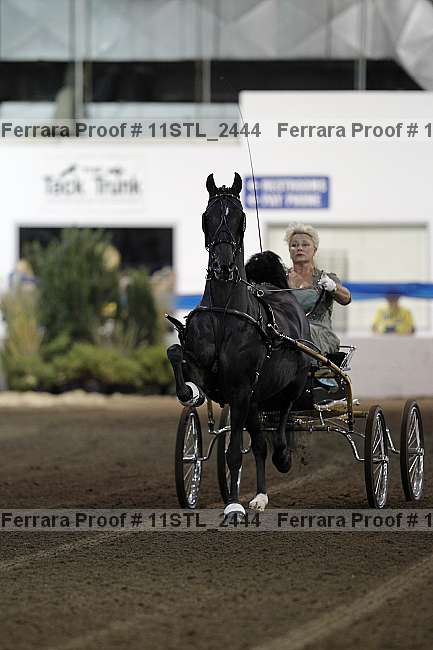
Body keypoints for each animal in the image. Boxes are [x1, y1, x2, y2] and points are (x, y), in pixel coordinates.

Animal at [167, 173, 311, 516]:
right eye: (206, 217)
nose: (222, 266)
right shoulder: (220, 380)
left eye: (240, 218)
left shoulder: (242, 388)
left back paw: (282, 457)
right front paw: (187, 392)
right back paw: (259, 496)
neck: (224, 314)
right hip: (256, 401)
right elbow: (176, 351)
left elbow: (233, 453)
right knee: (258, 444)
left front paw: (233, 506)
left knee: (283, 418)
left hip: (291, 383)